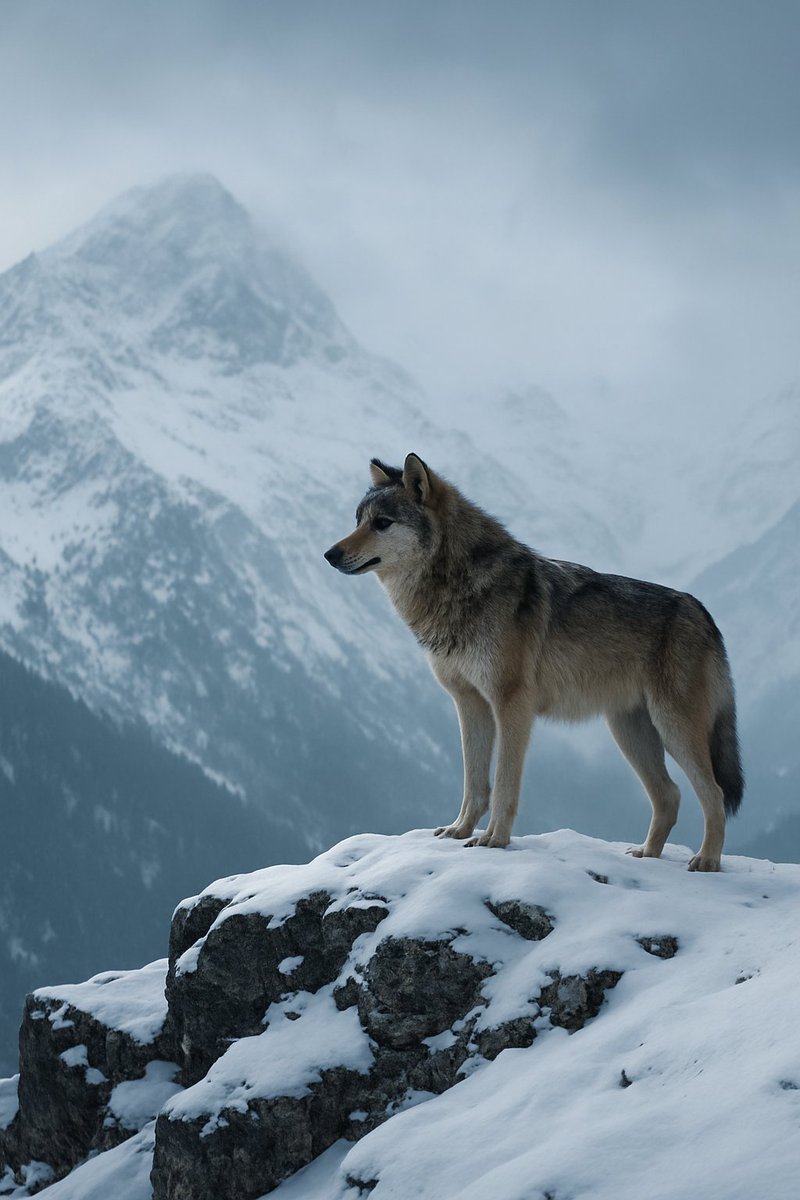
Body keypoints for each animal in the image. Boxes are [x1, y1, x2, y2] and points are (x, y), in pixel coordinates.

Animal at [324, 454, 743, 871]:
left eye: (382, 523)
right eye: (357, 519)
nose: (330, 554)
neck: (458, 584)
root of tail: (702, 611)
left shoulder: (512, 704)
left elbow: (504, 783)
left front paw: (494, 840)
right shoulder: (469, 703)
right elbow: (474, 782)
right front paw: (460, 831)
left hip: (673, 729)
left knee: (714, 794)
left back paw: (706, 861)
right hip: (629, 732)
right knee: (670, 795)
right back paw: (646, 855)